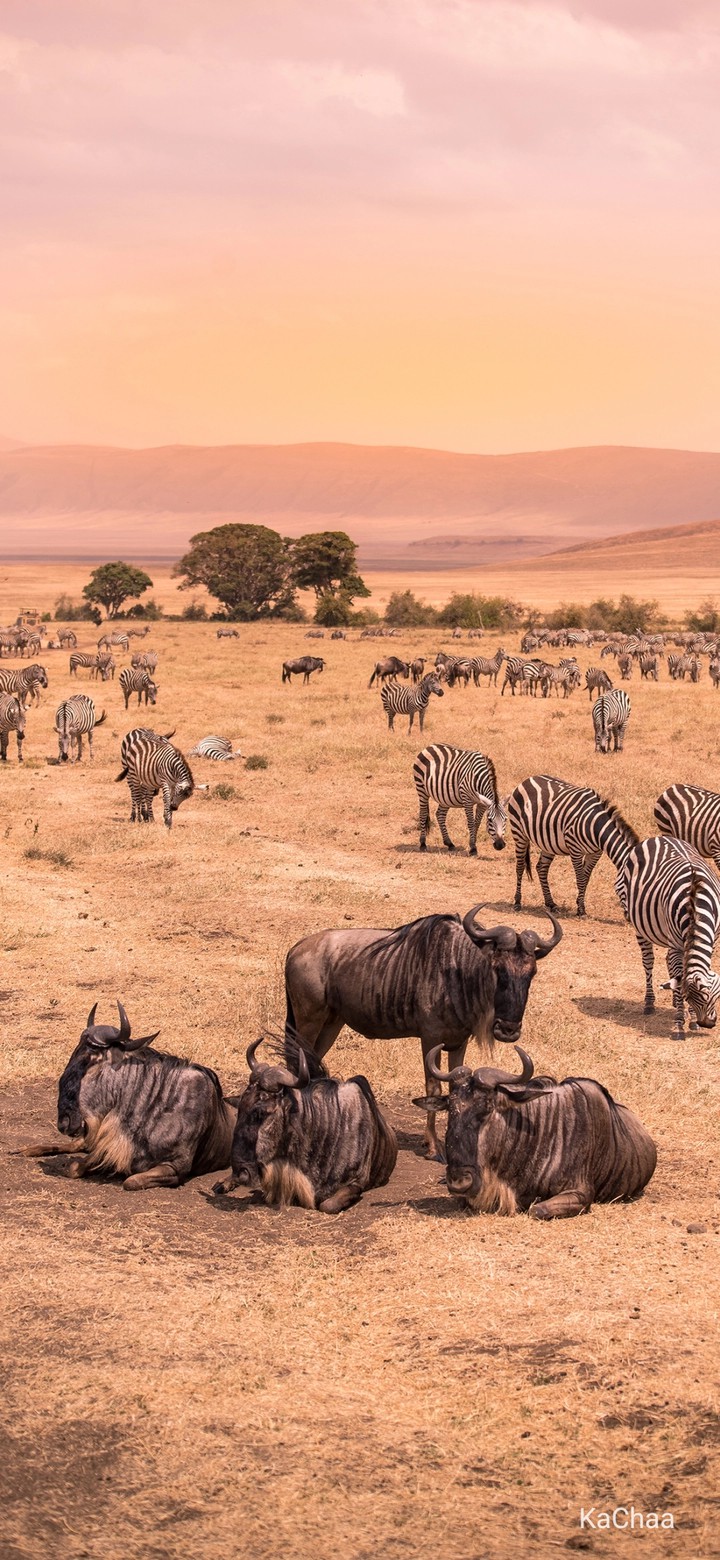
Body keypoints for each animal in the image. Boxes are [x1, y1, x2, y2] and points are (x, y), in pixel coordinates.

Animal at [508, 775, 639, 917]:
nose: (630, 917)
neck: (595, 825)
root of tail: (527, 780)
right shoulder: (575, 849)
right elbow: (580, 879)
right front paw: (581, 909)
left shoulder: (595, 853)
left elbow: (586, 878)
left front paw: (579, 904)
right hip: (519, 833)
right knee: (520, 867)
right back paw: (517, 902)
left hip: (548, 842)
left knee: (541, 868)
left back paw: (551, 903)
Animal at [616, 836, 720, 1038]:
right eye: (692, 996)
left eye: (715, 996)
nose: (709, 1023)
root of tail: (658, 837)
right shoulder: (677, 944)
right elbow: (679, 981)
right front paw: (681, 1022)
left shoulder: (711, 940)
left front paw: (690, 1018)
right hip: (639, 923)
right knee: (648, 961)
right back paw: (649, 1002)